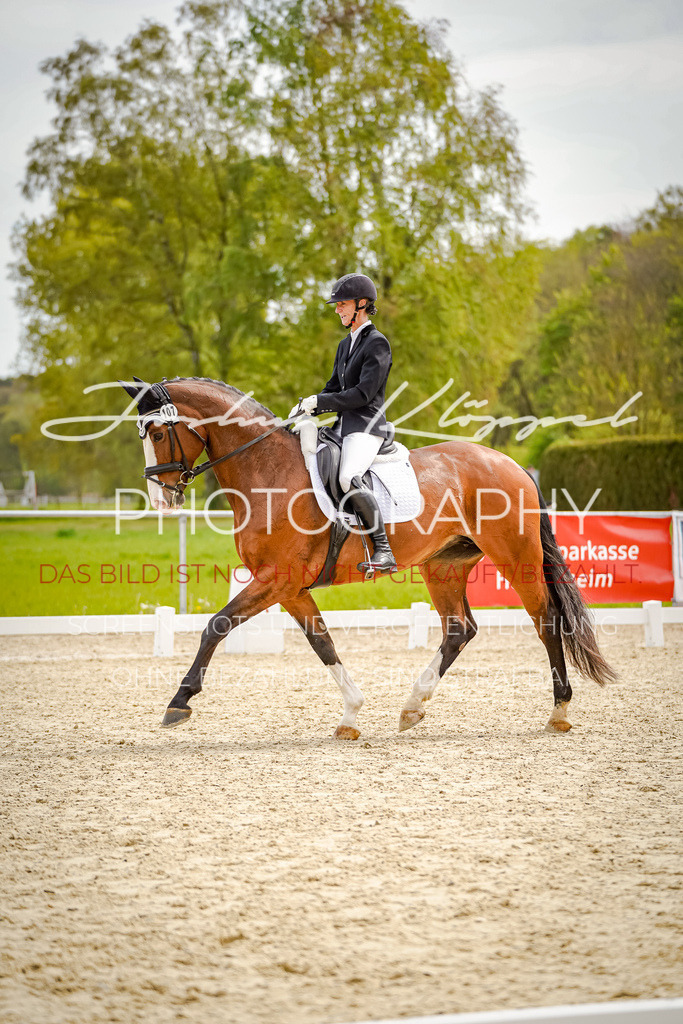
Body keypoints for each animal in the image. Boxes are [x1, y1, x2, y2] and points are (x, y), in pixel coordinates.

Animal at [120, 376, 618, 737]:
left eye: (159, 432)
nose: (161, 499)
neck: (268, 471)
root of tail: (512, 464)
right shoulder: (288, 587)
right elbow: (323, 643)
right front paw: (350, 716)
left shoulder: (276, 579)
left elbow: (216, 626)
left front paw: (179, 702)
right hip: (445, 564)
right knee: (459, 629)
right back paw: (412, 708)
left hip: (515, 555)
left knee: (546, 619)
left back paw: (559, 711)